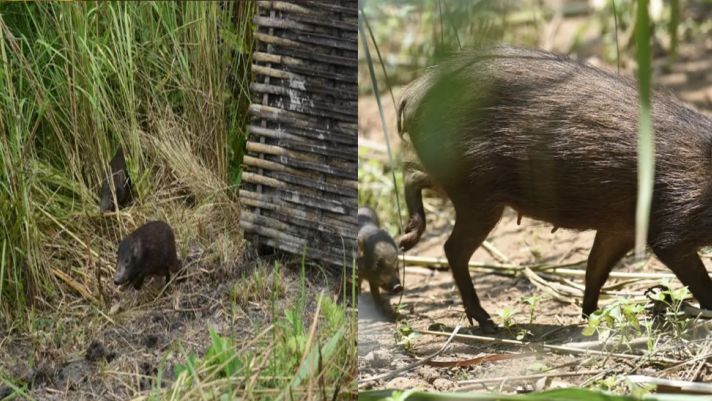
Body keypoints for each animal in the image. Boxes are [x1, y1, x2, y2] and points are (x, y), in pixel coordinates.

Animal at [398, 44, 712, 332]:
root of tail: (410, 95)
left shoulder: (621, 226)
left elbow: (594, 268)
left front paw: (592, 318)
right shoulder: (673, 227)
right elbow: (700, 280)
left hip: (457, 181)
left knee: (412, 175)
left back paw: (406, 238)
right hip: (478, 195)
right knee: (453, 248)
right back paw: (486, 322)